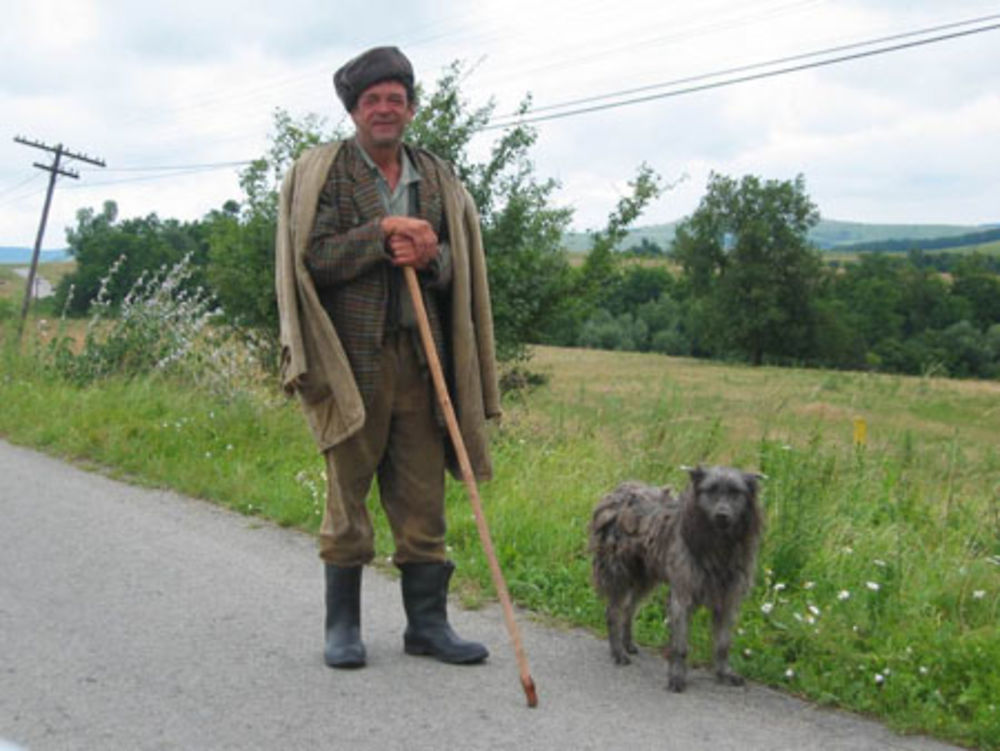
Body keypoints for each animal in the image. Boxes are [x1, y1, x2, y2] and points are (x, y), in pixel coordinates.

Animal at [588, 468, 760, 696]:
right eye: (711, 490)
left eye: (735, 492)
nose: (722, 515)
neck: (718, 545)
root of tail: (619, 491)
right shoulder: (682, 594)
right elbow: (680, 646)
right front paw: (677, 676)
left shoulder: (727, 598)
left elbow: (723, 644)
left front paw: (724, 673)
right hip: (620, 573)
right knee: (614, 612)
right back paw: (618, 651)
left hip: (644, 577)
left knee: (629, 609)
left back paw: (628, 643)